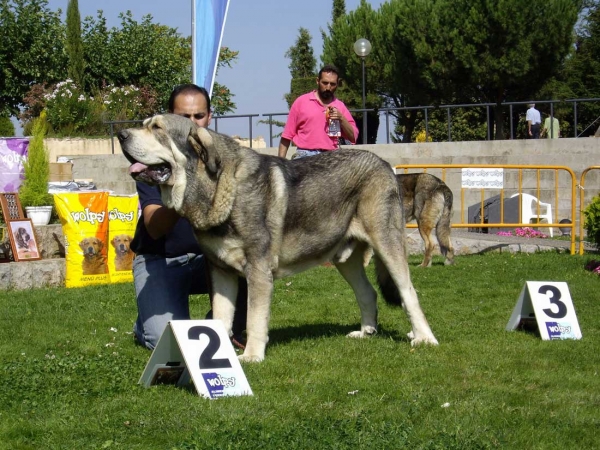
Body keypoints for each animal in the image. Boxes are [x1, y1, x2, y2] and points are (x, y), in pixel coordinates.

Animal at [117, 113, 436, 362]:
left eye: (157, 128)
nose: (121, 134)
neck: (216, 185)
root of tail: (384, 163)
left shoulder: (258, 270)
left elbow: (254, 318)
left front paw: (251, 356)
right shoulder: (219, 271)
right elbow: (221, 316)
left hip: (386, 243)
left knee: (409, 292)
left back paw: (424, 337)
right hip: (345, 259)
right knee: (367, 293)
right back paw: (366, 332)